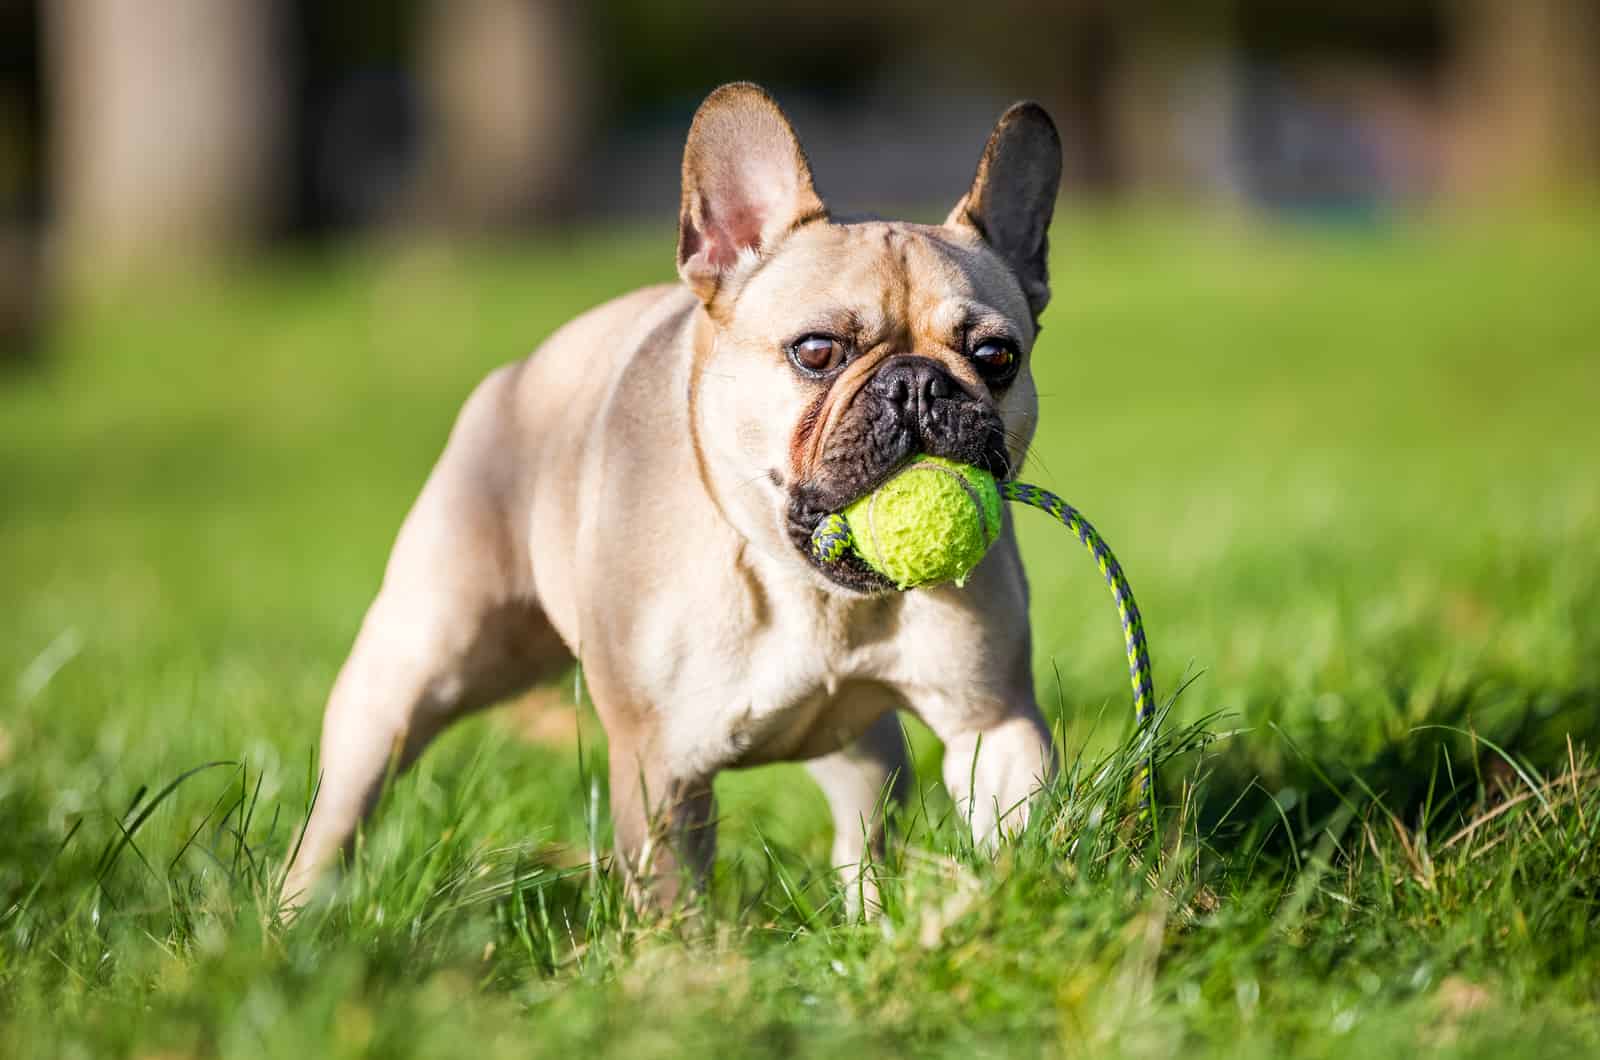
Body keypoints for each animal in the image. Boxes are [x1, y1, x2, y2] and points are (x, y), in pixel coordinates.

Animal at [288, 85, 1062, 915]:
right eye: (817, 351)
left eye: (996, 356)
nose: (917, 385)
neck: (811, 593)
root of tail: (517, 377)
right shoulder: (659, 765)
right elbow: (673, 899)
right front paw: (687, 950)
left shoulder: (994, 719)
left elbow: (1019, 826)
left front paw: (1019, 898)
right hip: (413, 664)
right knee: (342, 802)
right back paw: (296, 911)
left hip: (860, 747)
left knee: (866, 821)